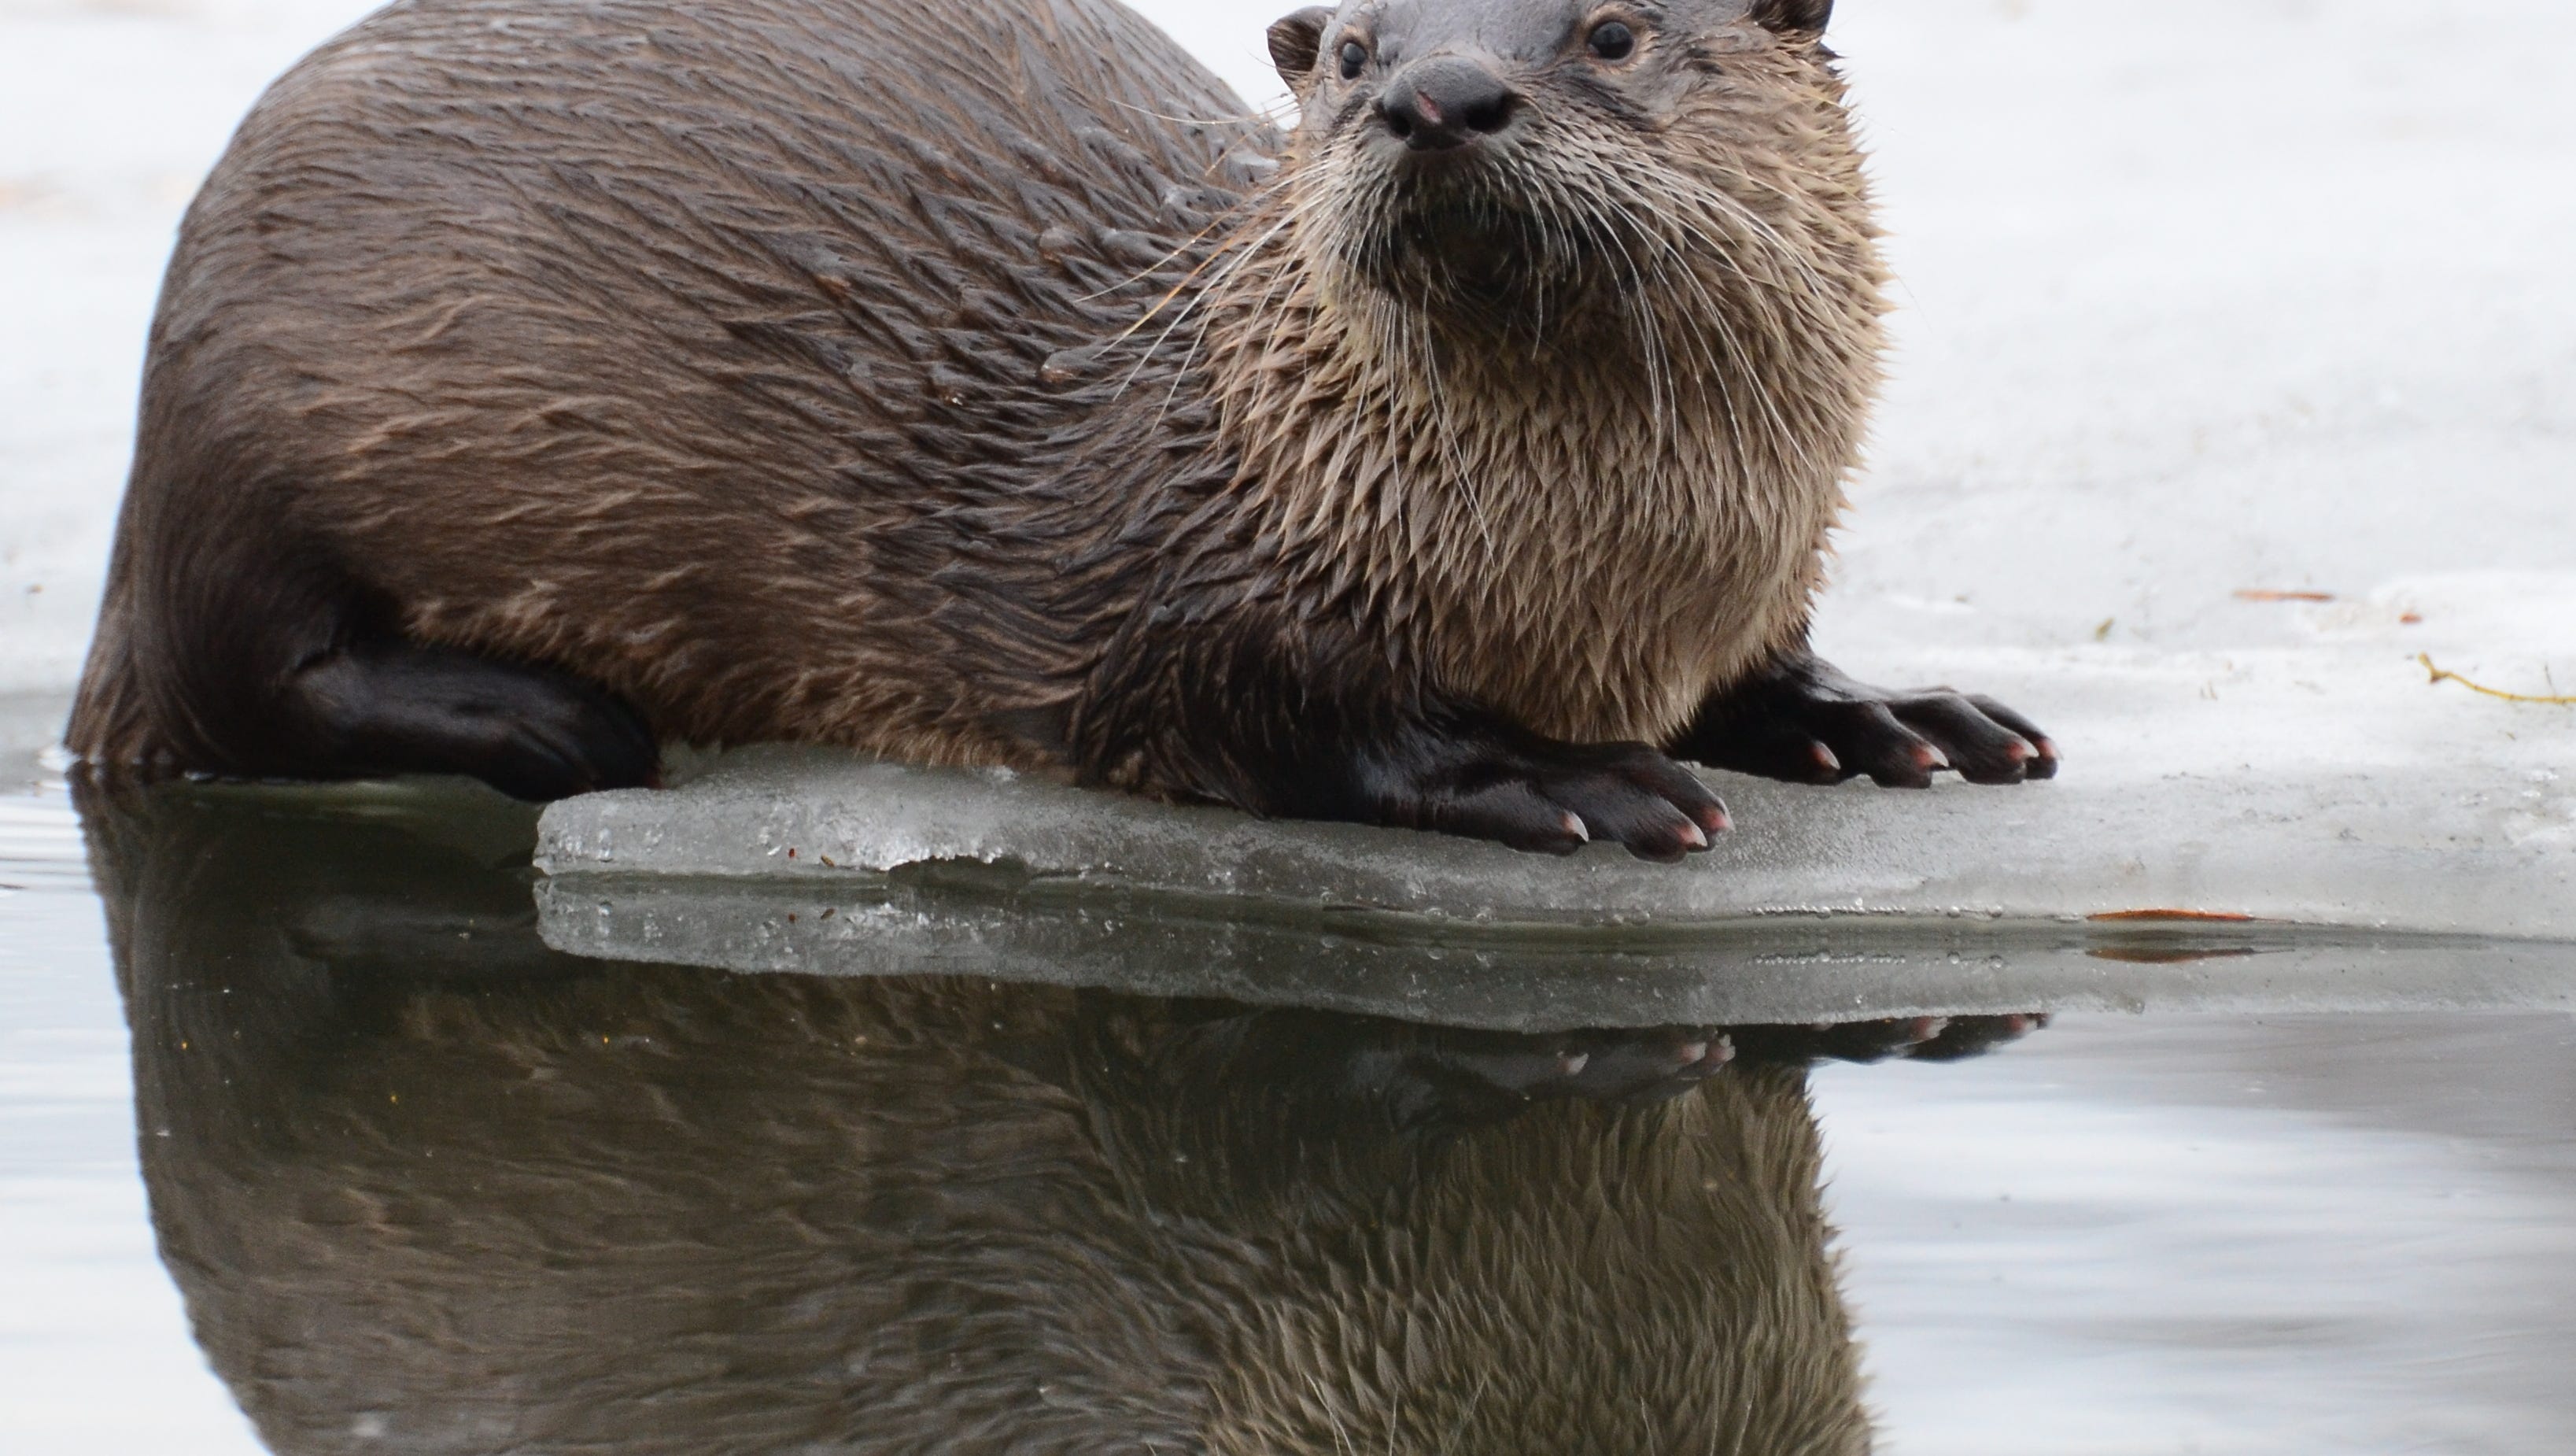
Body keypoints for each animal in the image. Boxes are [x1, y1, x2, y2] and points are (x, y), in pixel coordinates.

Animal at [68, 0, 2056, 858]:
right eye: (1350, 48)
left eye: (1613, 27)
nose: (1432, 95)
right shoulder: (1164, 585)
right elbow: (1287, 715)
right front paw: (1566, 777)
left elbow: (1771, 660)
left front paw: (1888, 711)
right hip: (248, 429)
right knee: (243, 681)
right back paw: (552, 718)